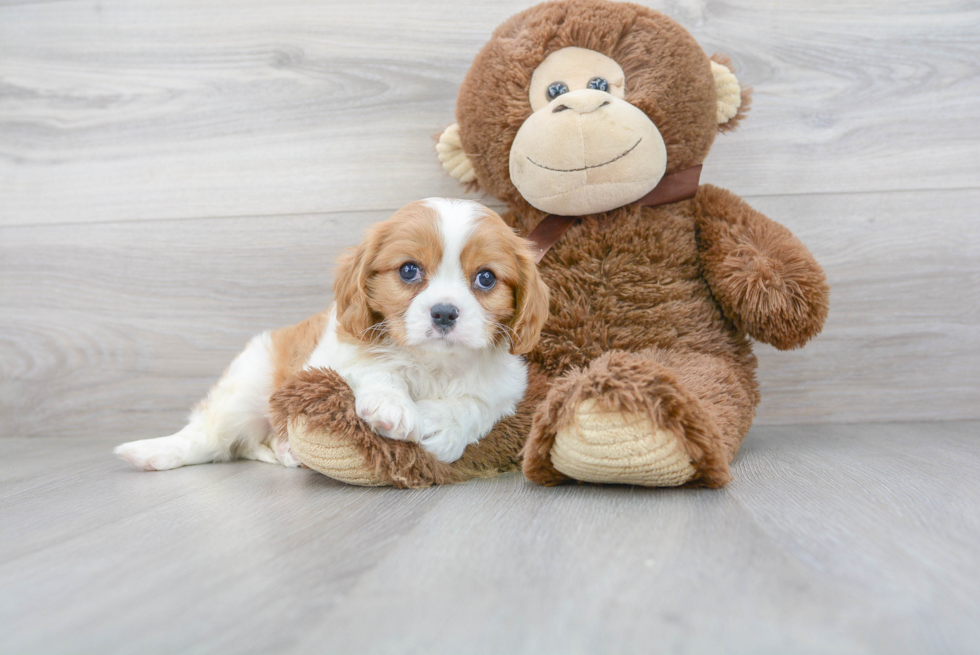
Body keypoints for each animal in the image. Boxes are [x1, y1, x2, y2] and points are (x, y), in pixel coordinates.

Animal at [115, 200, 552, 472]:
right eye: (409, 270)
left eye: (486, 278)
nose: (444, 312)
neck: (434, 363)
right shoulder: (333, 353)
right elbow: (375, 366)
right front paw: (392, 405)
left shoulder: (506, 388)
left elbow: (477, 404)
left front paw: (444, 424)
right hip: (248, 384)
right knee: (211, 438)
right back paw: (153, 453)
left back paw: (286, 450)